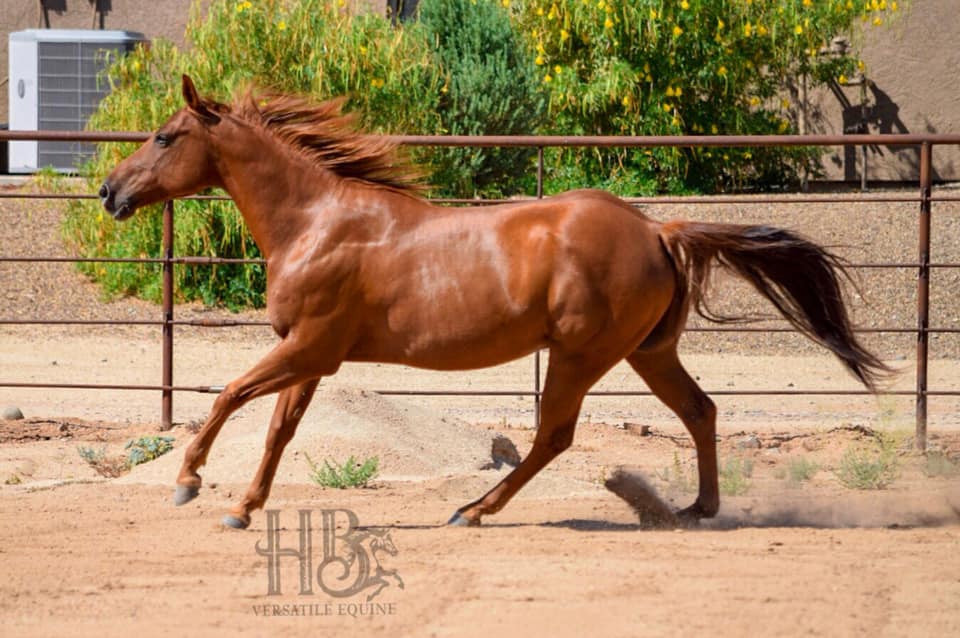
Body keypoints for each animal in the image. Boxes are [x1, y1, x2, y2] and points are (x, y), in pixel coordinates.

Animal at [100, 75, 889, 529]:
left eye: (165, 136)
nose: (110, 192)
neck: (317, 222)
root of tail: (656, 231)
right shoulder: (313, 357)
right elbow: (276, 433)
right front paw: (241, 507)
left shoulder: (308, 345)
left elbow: (230, 395)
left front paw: (189, 483)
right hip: (647, 352)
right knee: (700, 411)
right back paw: (699, 508)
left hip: (581, 355)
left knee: (554, 438)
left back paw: (473, 510)